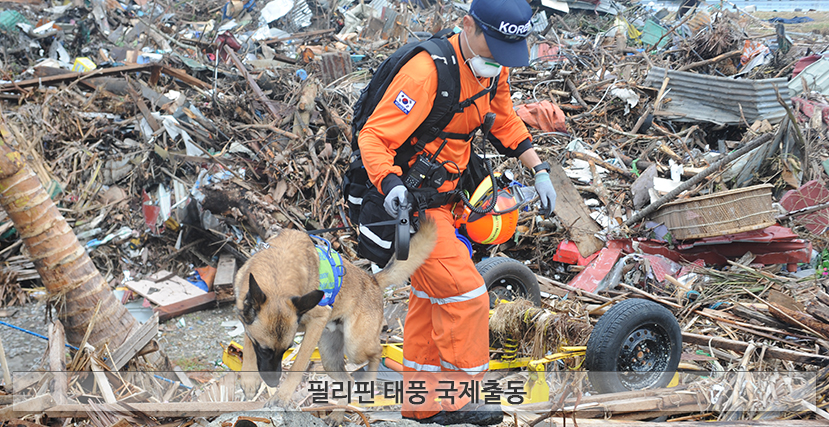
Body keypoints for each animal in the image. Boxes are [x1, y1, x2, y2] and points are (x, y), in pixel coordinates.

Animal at [234, 221, 434, 404]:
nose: (274, 383)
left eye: (286, 349)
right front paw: (249, 380)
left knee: (377, 351)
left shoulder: (317, 320)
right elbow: (248, 342)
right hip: (330, 359)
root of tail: (373, 280)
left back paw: (368, 385)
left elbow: (299, 362)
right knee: (349, 380)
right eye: (264, 350)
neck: (278, 272)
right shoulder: (246, 316)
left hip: (355, 346)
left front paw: (283, 395)